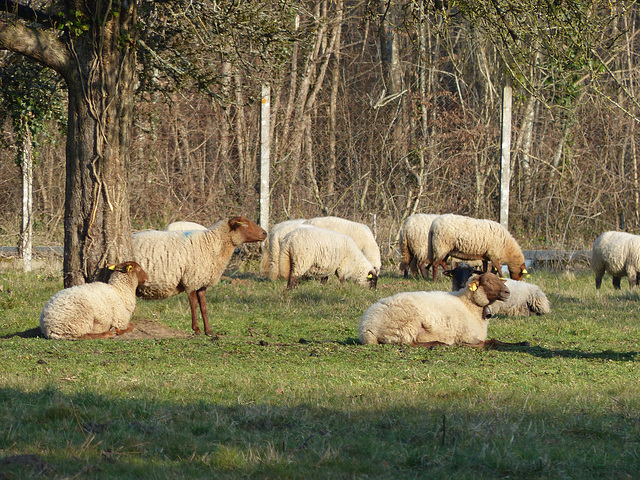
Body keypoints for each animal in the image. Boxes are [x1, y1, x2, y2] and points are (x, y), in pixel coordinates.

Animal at [133, 216, 268, 336]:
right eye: (244, 224)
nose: (265, 233)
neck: (210, 244)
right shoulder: (191, 280)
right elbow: (193, 305)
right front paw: (196, 329)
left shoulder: (202, 281)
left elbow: (203, 306)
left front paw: (209, 331)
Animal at [358, 272, 528, 346]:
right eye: (488, 282)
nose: (507, 292)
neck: (469, 305)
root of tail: (366, 327)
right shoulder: (468, 337)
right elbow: (493, 342)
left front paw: (522, 343)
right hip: (406, 324)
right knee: (409, 343)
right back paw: (439, 343)